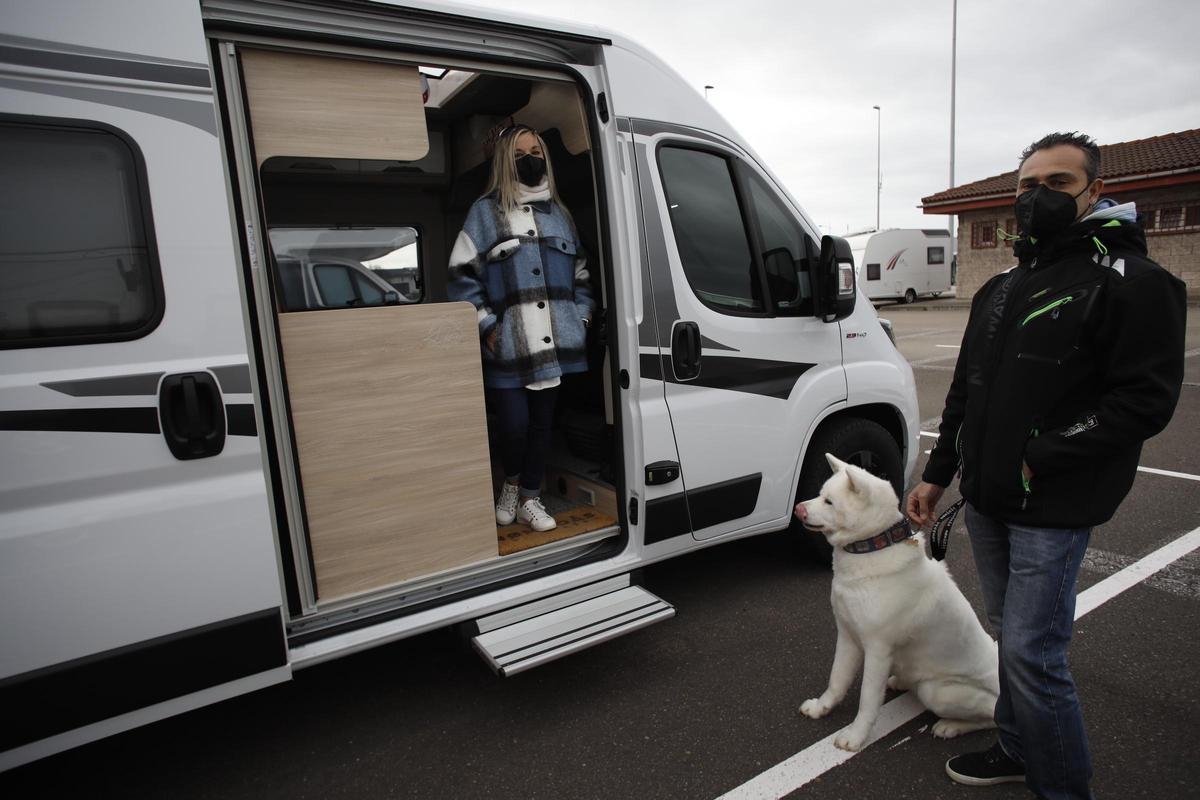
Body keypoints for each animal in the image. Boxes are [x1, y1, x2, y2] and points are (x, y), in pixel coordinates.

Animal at [792, 455, 998, 753]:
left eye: (829, 502)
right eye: (820, 495)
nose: (798, 509)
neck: (871, 547)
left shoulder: (877, 650)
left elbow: (867, 700)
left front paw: (855, 737)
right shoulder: (847, 635)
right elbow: (836, 680)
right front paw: (821, 708)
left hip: (939, 692)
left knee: (991, 717)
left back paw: (952, 726)